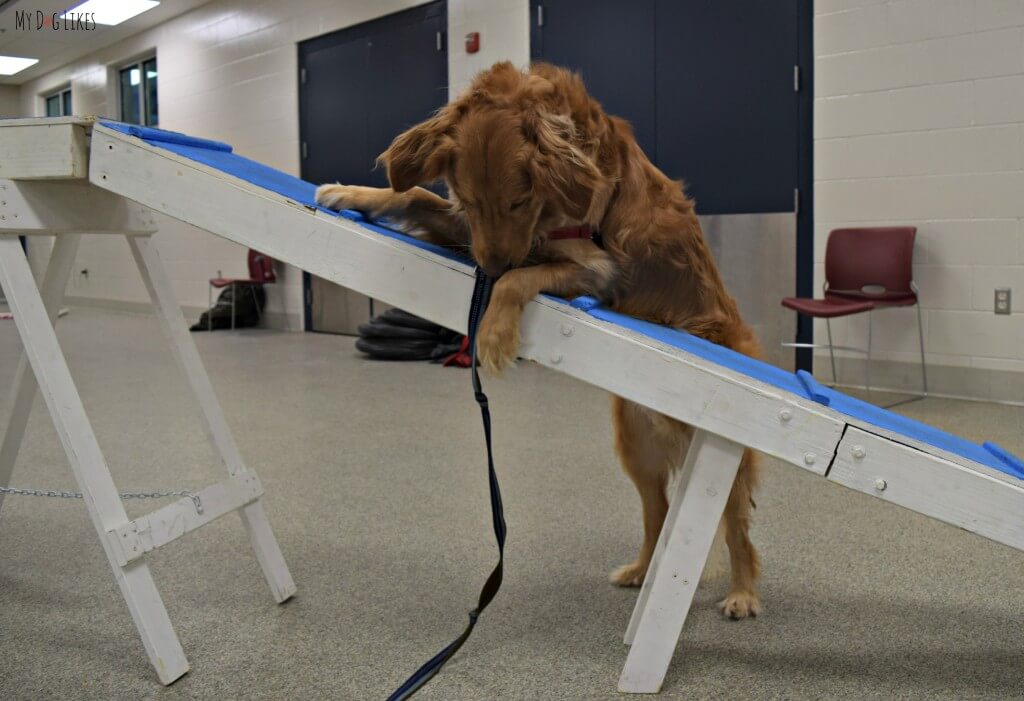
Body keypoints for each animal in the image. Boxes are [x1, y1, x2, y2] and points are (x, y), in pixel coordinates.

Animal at [315, 61, 765, 618]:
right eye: (470, 199)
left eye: (519, 200)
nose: (488, 265)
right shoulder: (473, 229)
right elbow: (415, 195)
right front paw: (350, 194)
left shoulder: (596, 266)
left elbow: (518, 279)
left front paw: (494, 335)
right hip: (635, 448)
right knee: (657, 512)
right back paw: (640, 570)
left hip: (724, 461)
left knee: (737, 528)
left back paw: (743, 593)